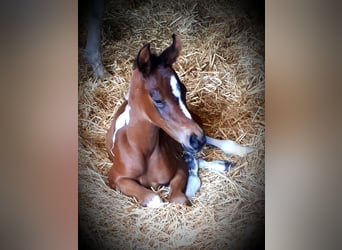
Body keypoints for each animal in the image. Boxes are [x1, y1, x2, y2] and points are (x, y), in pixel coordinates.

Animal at [105, 34, 252, 207]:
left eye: (185, 90)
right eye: (157, 99)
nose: (197, 139)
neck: (143, 151)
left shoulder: (180, 168)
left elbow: (179, 198)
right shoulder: (114, 177)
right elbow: (155, 199)